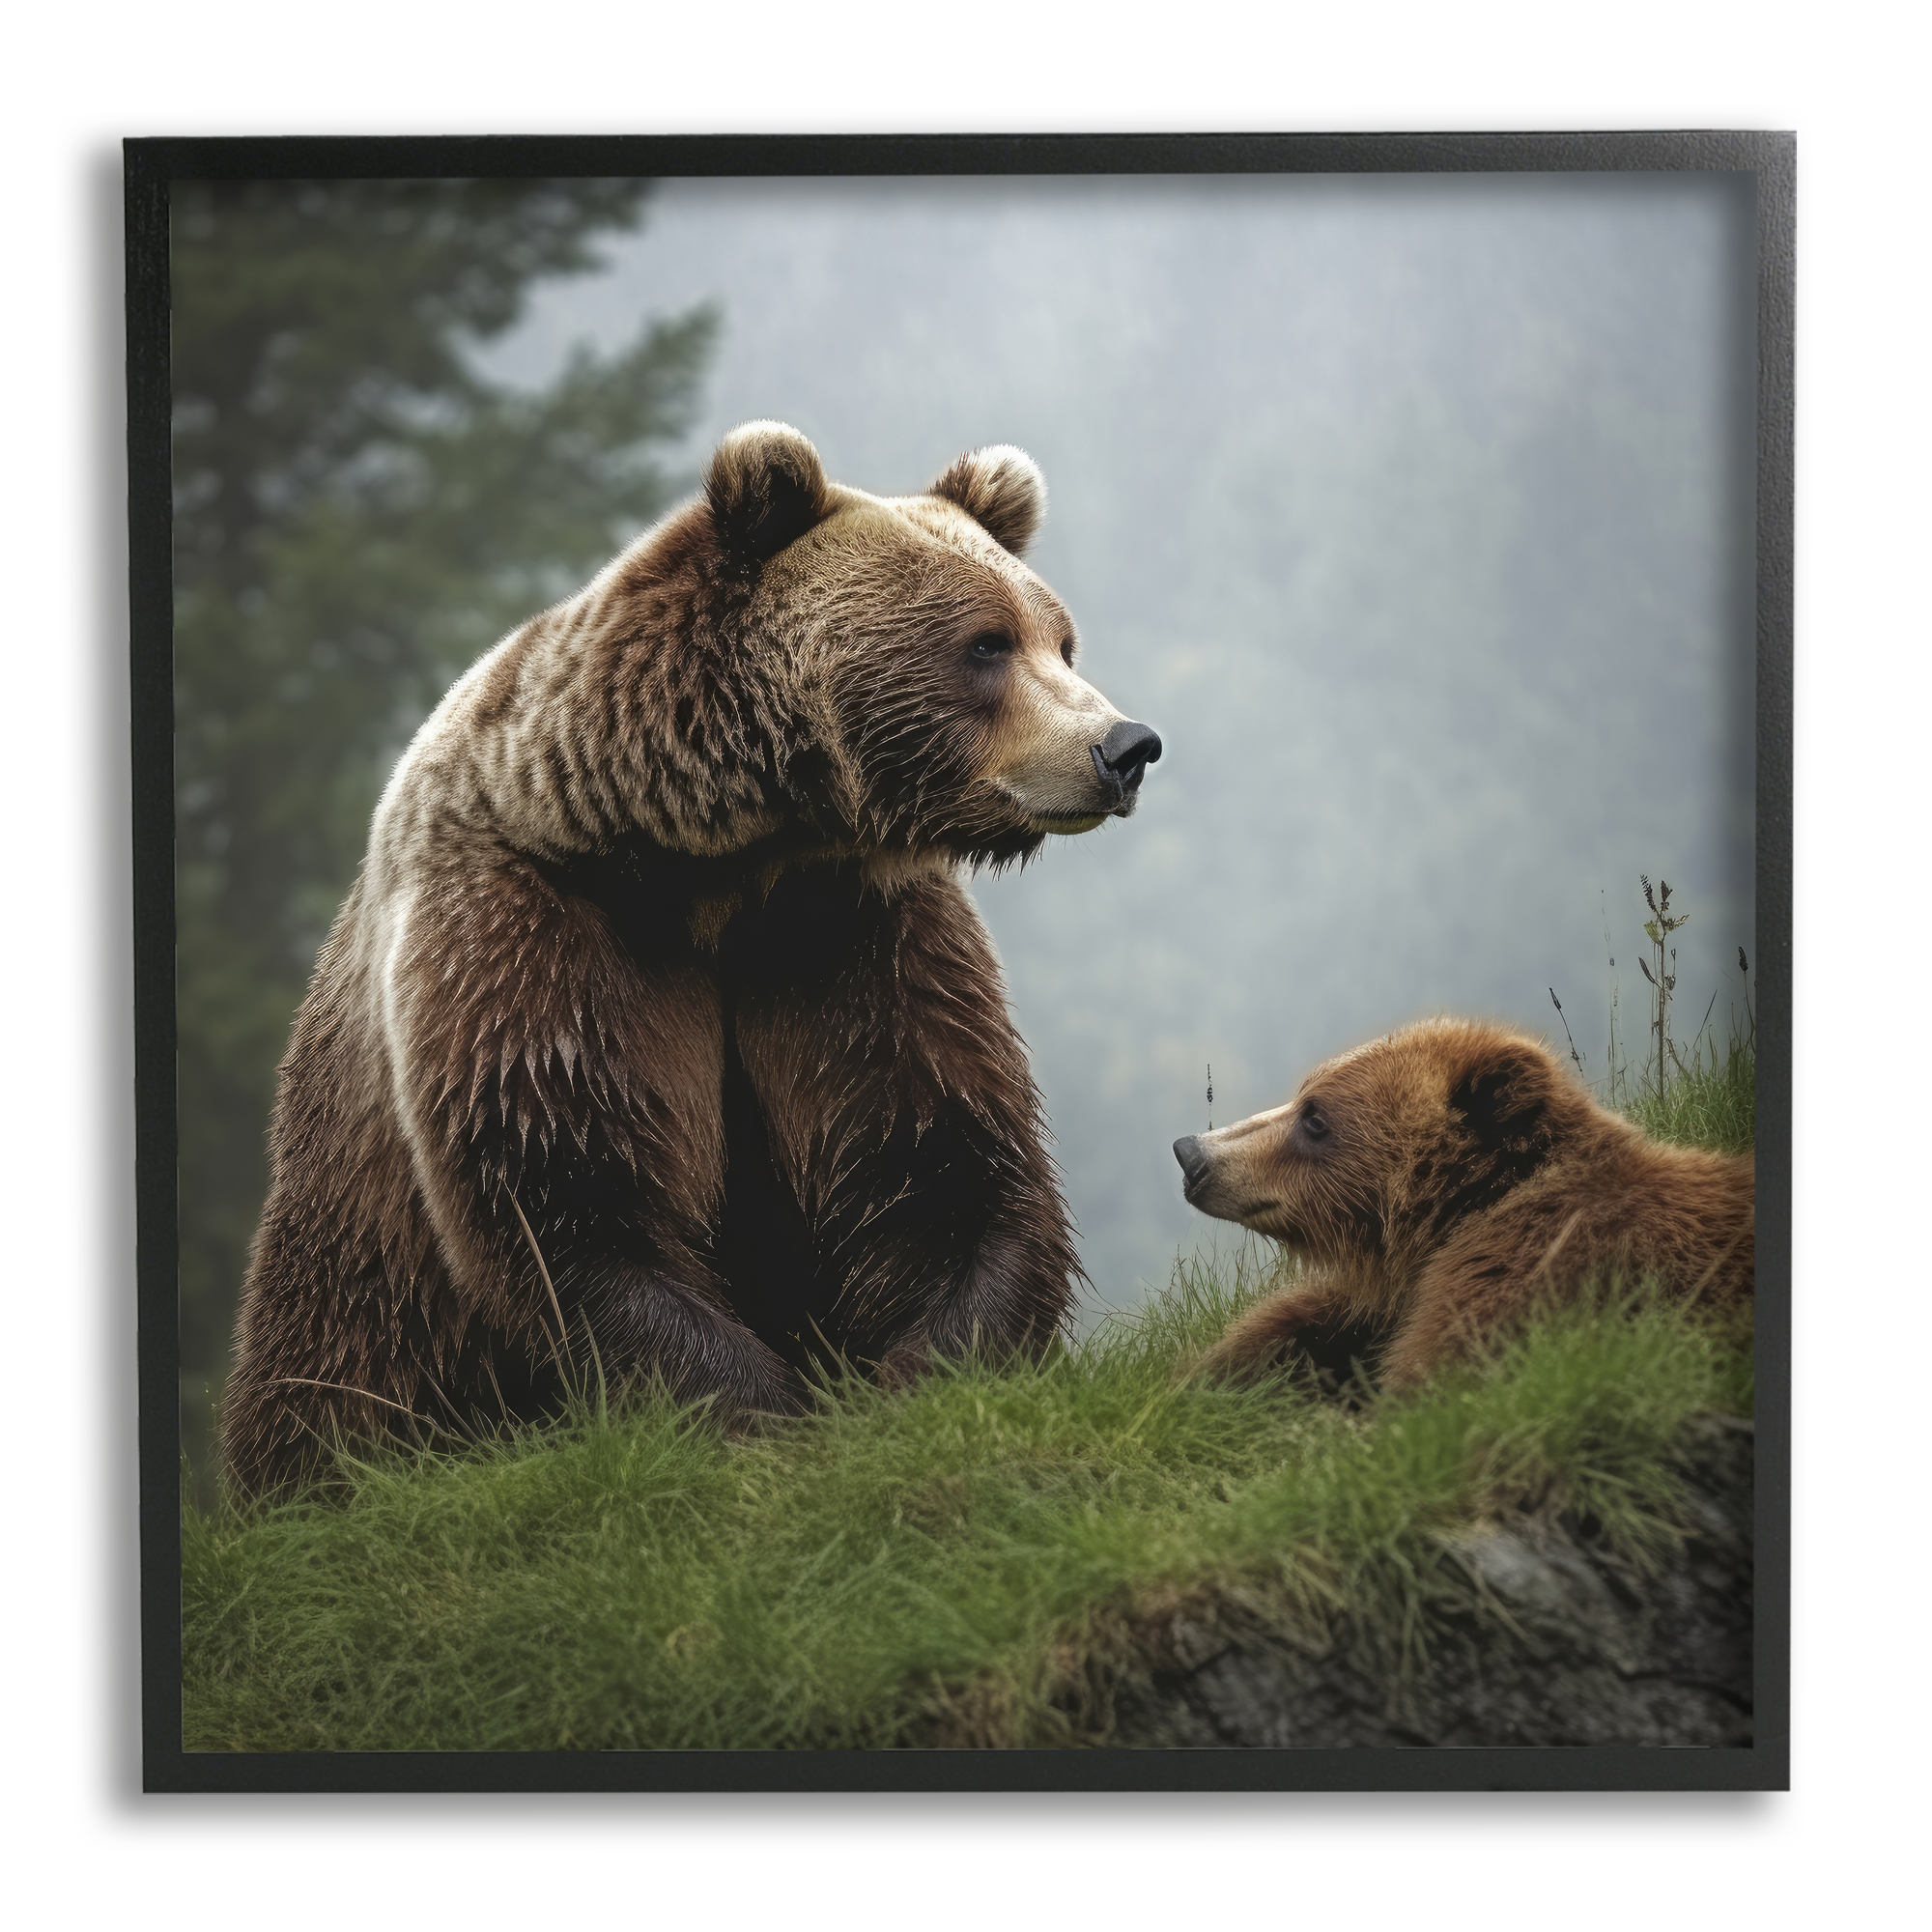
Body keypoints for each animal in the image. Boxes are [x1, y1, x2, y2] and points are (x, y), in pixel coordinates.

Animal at [220, 421, 1163, 1497]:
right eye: (984, 643)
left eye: (1059, 637)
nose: (1124, 746)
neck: (719, 859)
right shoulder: (534, 925)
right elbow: (572, 1194)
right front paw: (767, 1416)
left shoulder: (843, 934)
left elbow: (932, 1155)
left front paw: (928, 1382)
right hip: (348, 1305)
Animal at [1171, 1018, 1752, 1391]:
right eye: (1302, 1095)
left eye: (1316, 1118)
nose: (1192, 1154)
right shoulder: (1389, 1298)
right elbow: (1295, 1328)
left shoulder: (1522, 1273)